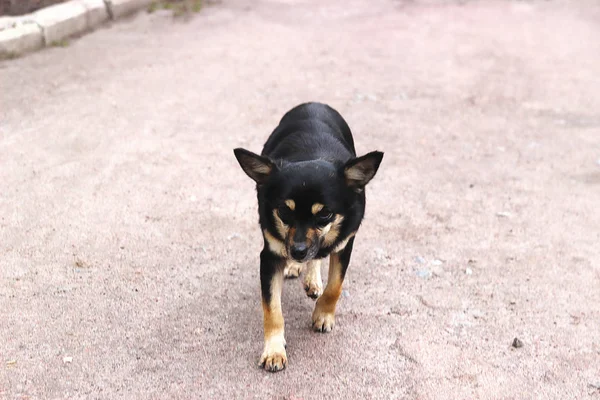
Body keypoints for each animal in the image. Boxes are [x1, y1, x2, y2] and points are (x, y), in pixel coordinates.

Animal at [232, 101, 382, 370]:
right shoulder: (270, 256)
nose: (298, 251)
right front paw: (274, 350)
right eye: (283, 211)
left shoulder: (345, 244)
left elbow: (335, 287)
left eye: (325, 214)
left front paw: (323, 314)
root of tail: (313, 104)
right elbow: (272, 310)